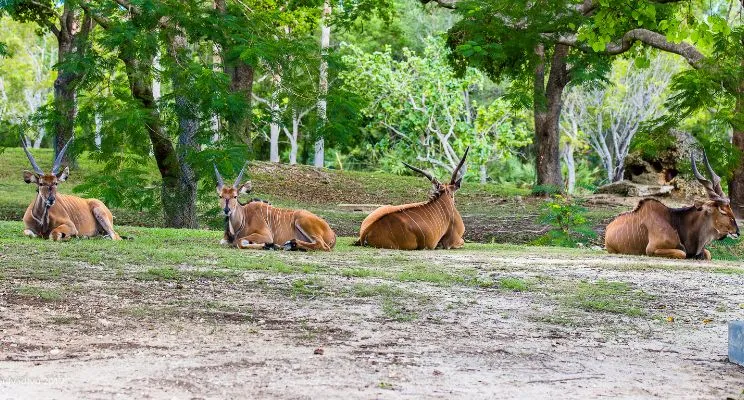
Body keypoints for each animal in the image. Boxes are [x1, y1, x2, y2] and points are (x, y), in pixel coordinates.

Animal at [604, 152, 740, 260]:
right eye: (722, 211)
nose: (737, 232)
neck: (676, 222)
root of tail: (608, 227)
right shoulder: (653, 249)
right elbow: (682, 253)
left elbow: (708, 254)